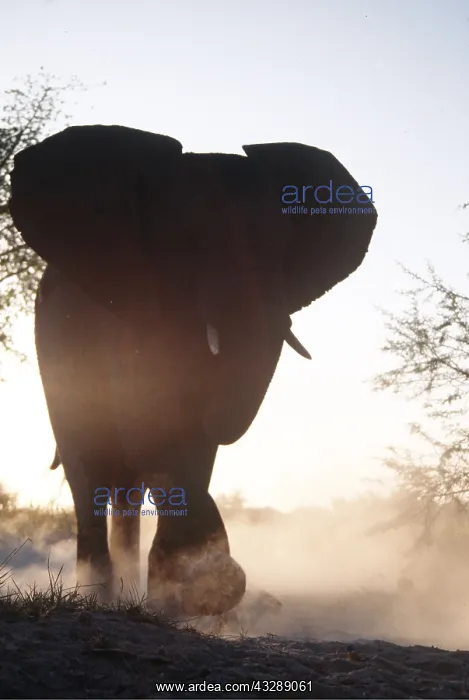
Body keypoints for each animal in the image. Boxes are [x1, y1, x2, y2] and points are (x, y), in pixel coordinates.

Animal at [8, 125, 377, 616]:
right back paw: (98, 597)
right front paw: (203, 585)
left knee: (125, 484)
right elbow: (150, 424)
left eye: (283, 247)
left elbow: (190, 441)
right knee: (88, 469)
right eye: (189, 241)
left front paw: (186, 589)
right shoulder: (130, 318)